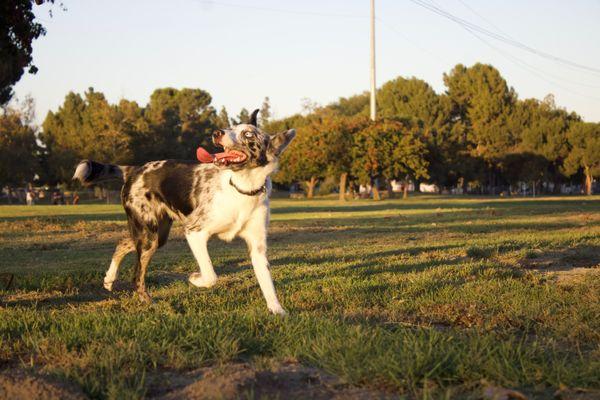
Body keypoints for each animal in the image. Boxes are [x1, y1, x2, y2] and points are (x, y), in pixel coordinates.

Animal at [72, 109, 296, 316]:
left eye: (248, 134)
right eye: (231, 127)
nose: (217, 133)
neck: (242, 188)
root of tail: (134, 170)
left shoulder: (257, 247)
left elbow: (268, 285)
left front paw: (277, 311)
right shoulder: (195, 232)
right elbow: (210, 274)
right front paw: (195, 279)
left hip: (156, 235)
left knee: (122, 244)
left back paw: (109, 279)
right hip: (149, 236)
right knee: (137, 277)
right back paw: (149, 303)